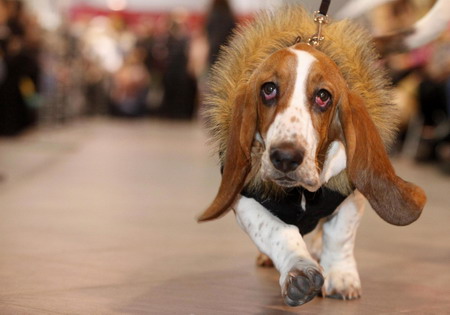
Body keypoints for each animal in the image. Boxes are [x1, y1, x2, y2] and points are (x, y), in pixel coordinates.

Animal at [199, 5, 428, 308]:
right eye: (268, 89)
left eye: (323, 96)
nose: (285, 157)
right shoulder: (246, 200)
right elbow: (278, 231)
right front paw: (299, 269)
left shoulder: (349, 194)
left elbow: (340, 235)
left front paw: (341, 276)